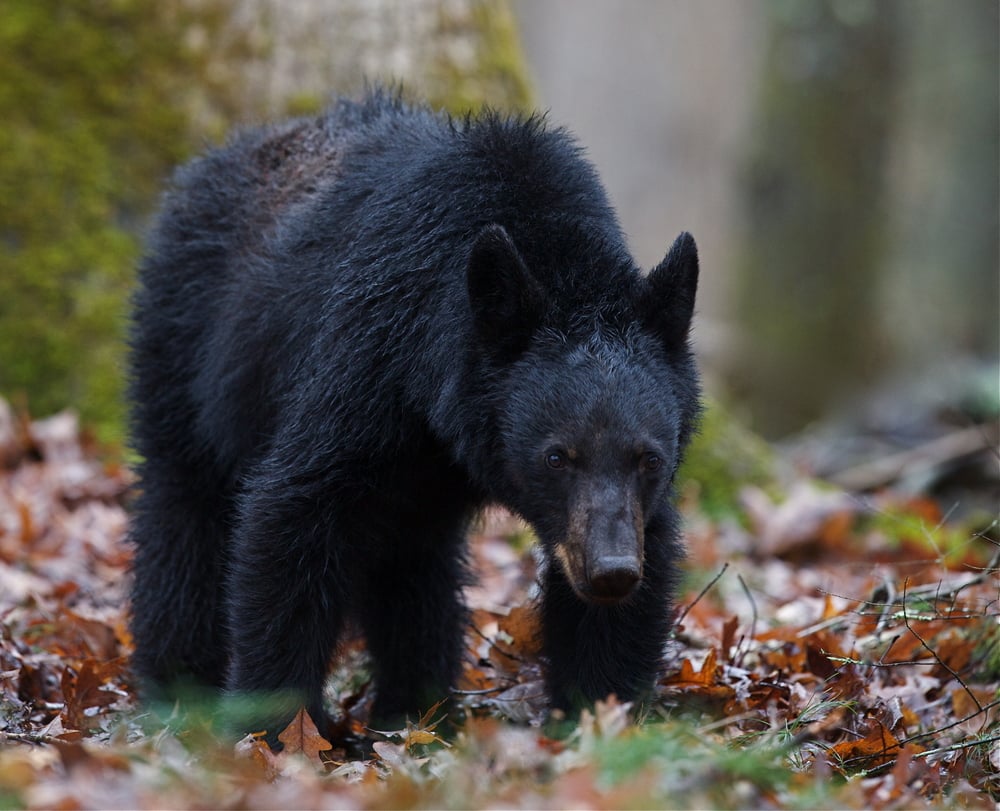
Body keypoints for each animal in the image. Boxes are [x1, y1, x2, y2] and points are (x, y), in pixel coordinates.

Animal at [128, 89, 701, 739]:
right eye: (556, 456)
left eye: (648, 459)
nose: (610, 571)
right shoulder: (369, 355)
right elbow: (292, 514)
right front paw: (275, 727)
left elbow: (632, 577)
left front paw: (598, 714)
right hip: (184, 349)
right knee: (184, 506)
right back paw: (178, 681)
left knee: (413, 566)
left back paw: (417, 706)